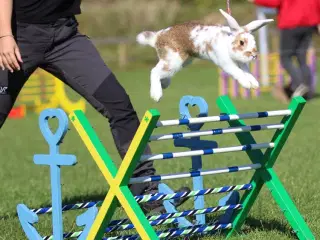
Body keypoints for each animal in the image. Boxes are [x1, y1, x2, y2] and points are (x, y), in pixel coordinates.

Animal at [136, 8, 274, 101]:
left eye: (254, 41)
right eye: (241, 42)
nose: (254, 55)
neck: (227, 43)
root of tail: (157, 37)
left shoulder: (242, 64)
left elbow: (247, 72)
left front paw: (255, 84)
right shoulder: (226, 63)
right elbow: (238, 73)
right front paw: (247, 84)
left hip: (182, 61)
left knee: (163, 73)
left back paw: (164, 84)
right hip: (173, 59)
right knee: (154, 71)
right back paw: (156, 95)